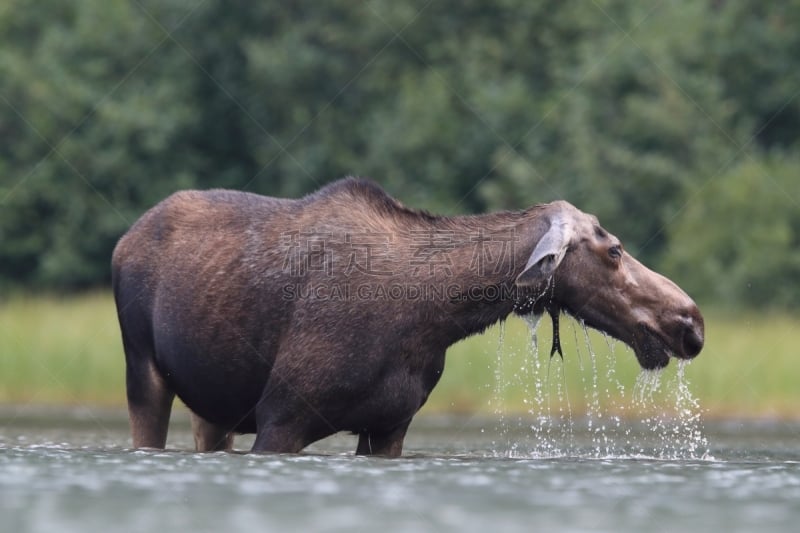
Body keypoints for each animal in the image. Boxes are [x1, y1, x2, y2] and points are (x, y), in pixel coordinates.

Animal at [111, 177, 700, 456]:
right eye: (614, 250)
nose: (690, 321)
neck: (430, 318)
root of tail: (121, 241)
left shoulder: (390, 425)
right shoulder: (282, 416)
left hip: (214, 405)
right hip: (143, 370)